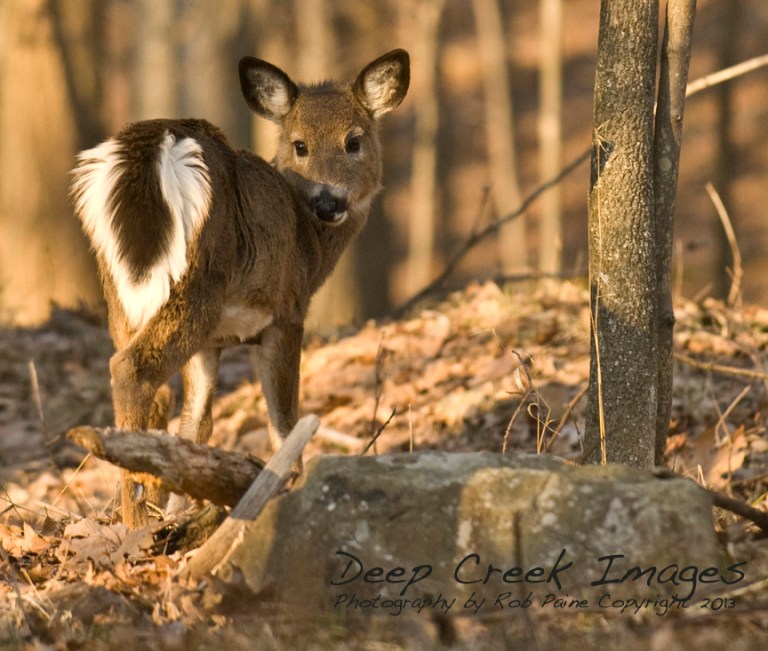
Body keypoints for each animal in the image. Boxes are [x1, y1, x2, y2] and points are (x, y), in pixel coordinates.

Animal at [71, 50, 410, 528]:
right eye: (300, 144)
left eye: (354, 141)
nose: (329, 203)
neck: (309, 246)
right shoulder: (286, 312)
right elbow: (283, 420)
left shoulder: (211, 345)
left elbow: (197, 423)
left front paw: (185, 509)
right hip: (197, 281)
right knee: (132, 370)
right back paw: (138, 520)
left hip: (122, 292)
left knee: (155, 390)